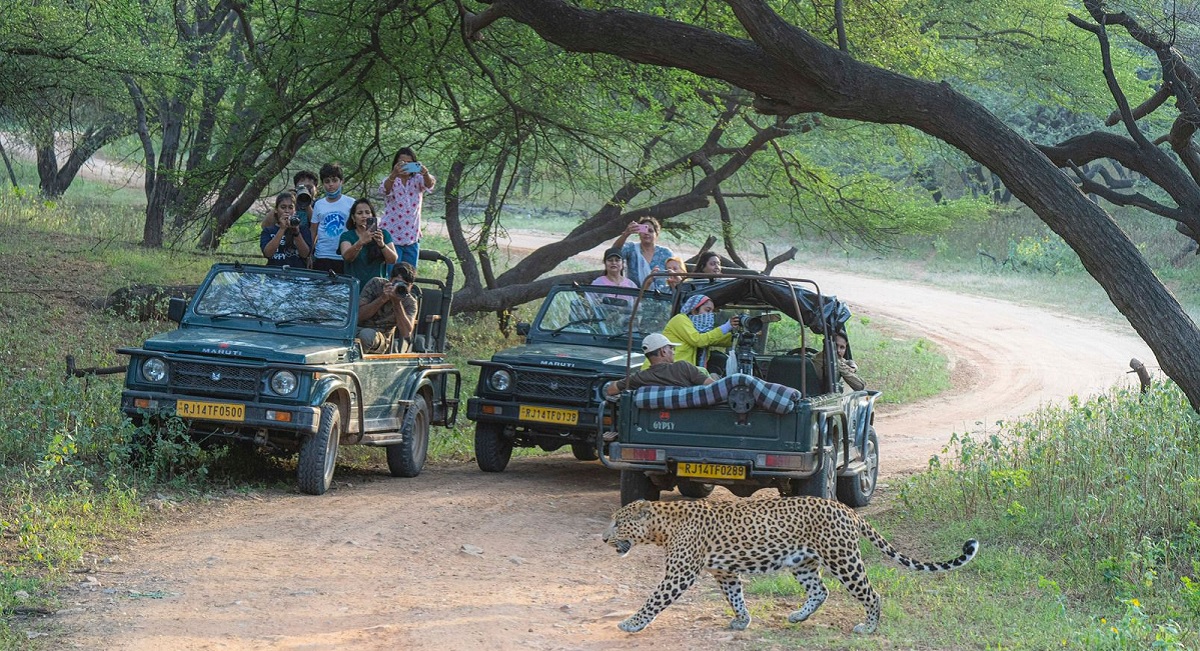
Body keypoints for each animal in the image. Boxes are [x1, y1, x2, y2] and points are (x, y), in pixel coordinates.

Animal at [604, 497, 979, 634]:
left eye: (618, 523)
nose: (604, 538)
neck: (661, 527)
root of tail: (848, 509)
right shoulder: (725, 572)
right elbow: (735, 596)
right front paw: (742, 621)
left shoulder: (680, 574)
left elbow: (653, 600)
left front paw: (631, 623)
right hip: (803, 562)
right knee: (821, 590)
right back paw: (798, 616)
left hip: (843, 559)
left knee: (871, 594)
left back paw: (868, 628)